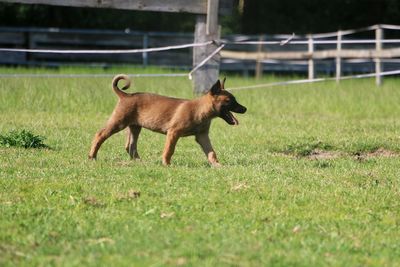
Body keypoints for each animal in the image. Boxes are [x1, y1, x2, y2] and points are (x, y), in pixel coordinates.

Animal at [88, 73, 245, 165]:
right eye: (229, 101)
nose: (245, 109)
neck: (200, 110)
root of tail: (126, 95)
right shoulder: (173, 133)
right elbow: (169, 150)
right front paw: (167, 164)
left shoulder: (202, 136)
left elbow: (211, 152)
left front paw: (217, 165)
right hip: (118, 122)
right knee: (100, 135)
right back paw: (92, 157)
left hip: (135, 127)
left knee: (130, 146)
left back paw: (140, 162)